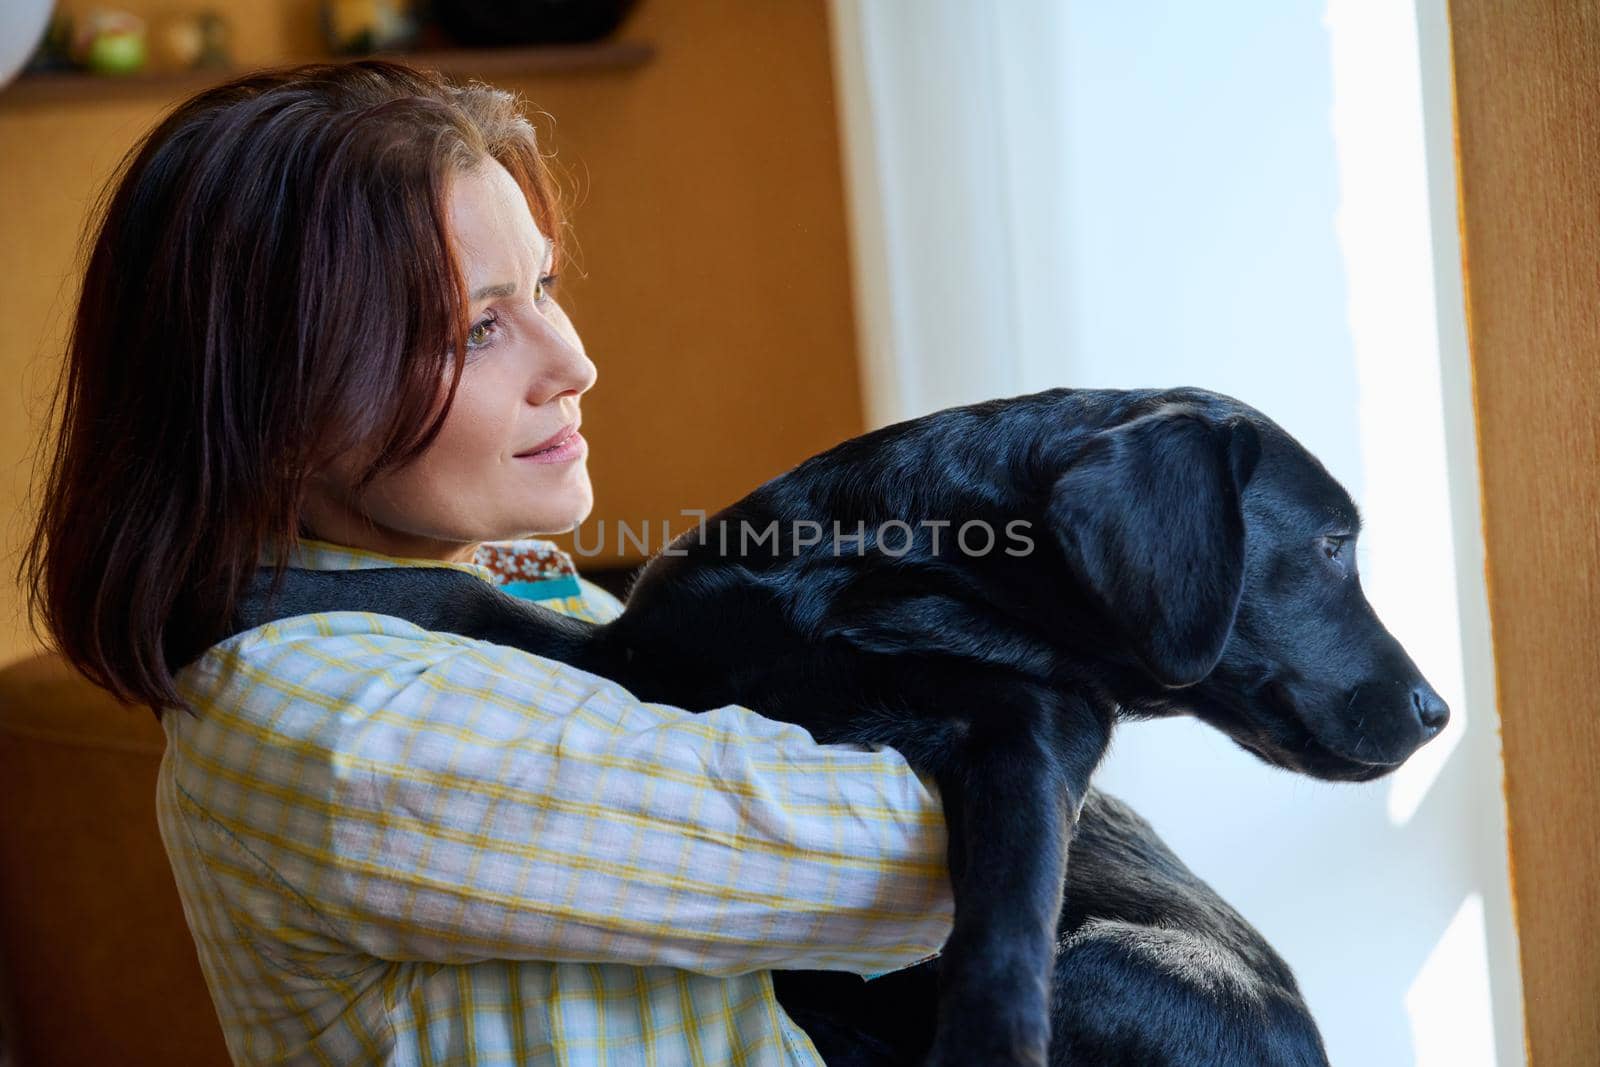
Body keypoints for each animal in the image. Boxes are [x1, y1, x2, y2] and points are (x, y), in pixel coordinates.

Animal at [232, 388, 1446, 1062]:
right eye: (1333, 545)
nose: (1437, 711)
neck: (878, 575)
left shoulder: (1033, 733)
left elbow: (1008, 897)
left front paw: (988, 1037)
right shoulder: (635, 660)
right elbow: (453, 592)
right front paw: (259, 587)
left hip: (1126, 961)